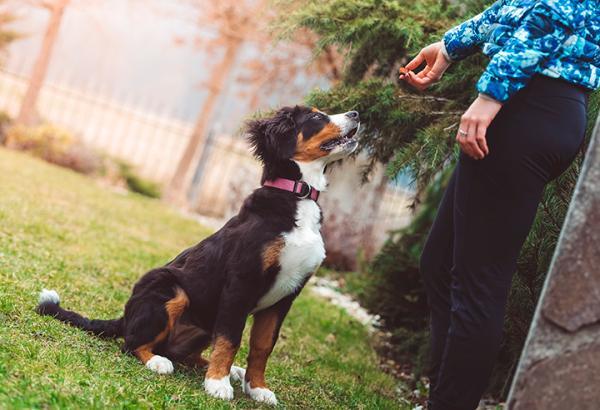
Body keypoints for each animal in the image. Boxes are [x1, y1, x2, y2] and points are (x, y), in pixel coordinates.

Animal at [36, 104, 360, 406]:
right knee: (132, 343)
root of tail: (126, 316)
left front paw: (257, 388)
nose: (356, 114)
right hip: (170, 289)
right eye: (316, 117)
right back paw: (161, 362)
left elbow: (262, 346)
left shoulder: (287, 295)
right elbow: (230, 339)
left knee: (185, 353)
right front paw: (217, 385)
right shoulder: (241, 283)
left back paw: (230, 371)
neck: (296, 196)